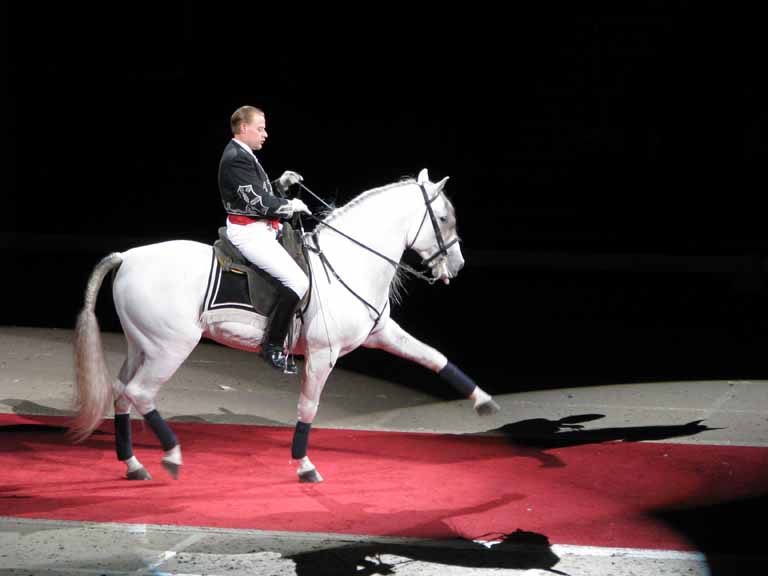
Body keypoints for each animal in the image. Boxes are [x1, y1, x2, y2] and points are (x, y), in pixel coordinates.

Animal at [73, 170, 498, 482]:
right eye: (443, 218)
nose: (457, 265)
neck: (349, 261)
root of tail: (128, 257)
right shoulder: (324, 355)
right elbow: (308, 406)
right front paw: (305, 465)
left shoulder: (382, 334)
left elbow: (434, 357)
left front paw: (483, 401)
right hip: (170, 347)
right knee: (139, 392)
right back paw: (172, 456)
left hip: (141, 345)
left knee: (122, 392)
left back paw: (133, 464)